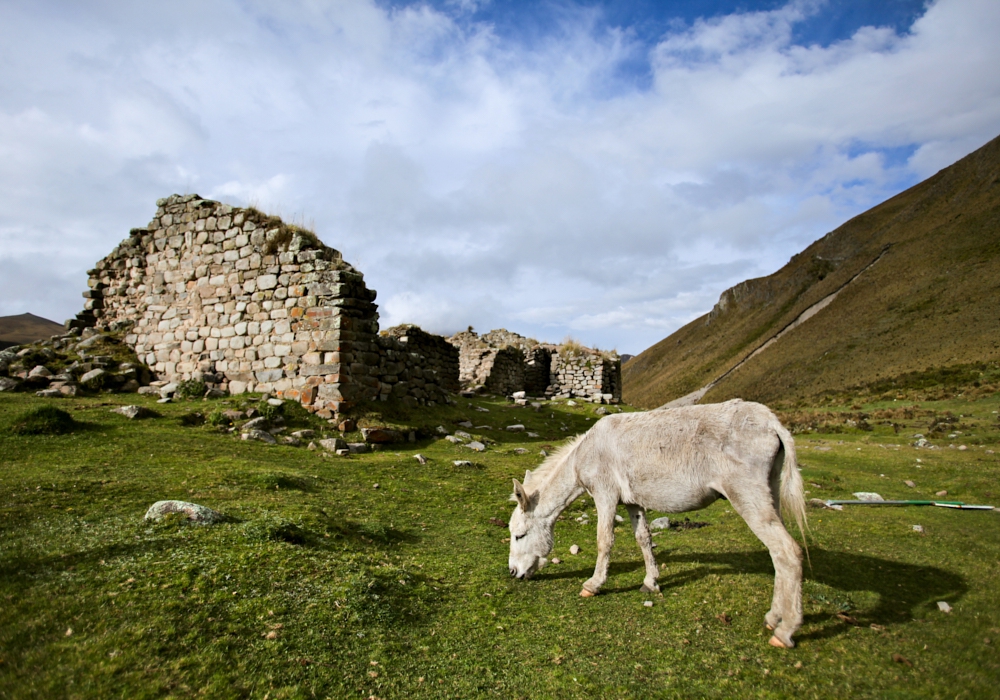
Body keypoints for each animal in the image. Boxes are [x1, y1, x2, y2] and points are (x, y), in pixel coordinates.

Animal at [512, 400, 808, 652]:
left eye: (519, 535)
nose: (514, 573)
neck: (585, 454)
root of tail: (771, 422)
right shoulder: (633, 502)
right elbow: (643, 538)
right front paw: (650, 582)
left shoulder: (605, 495)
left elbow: (604, 540)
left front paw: (593, 585)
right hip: (770, 492)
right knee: (778, 555)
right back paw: (774, 617)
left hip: (747, 495)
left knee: (787, 551)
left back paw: (785, 631)